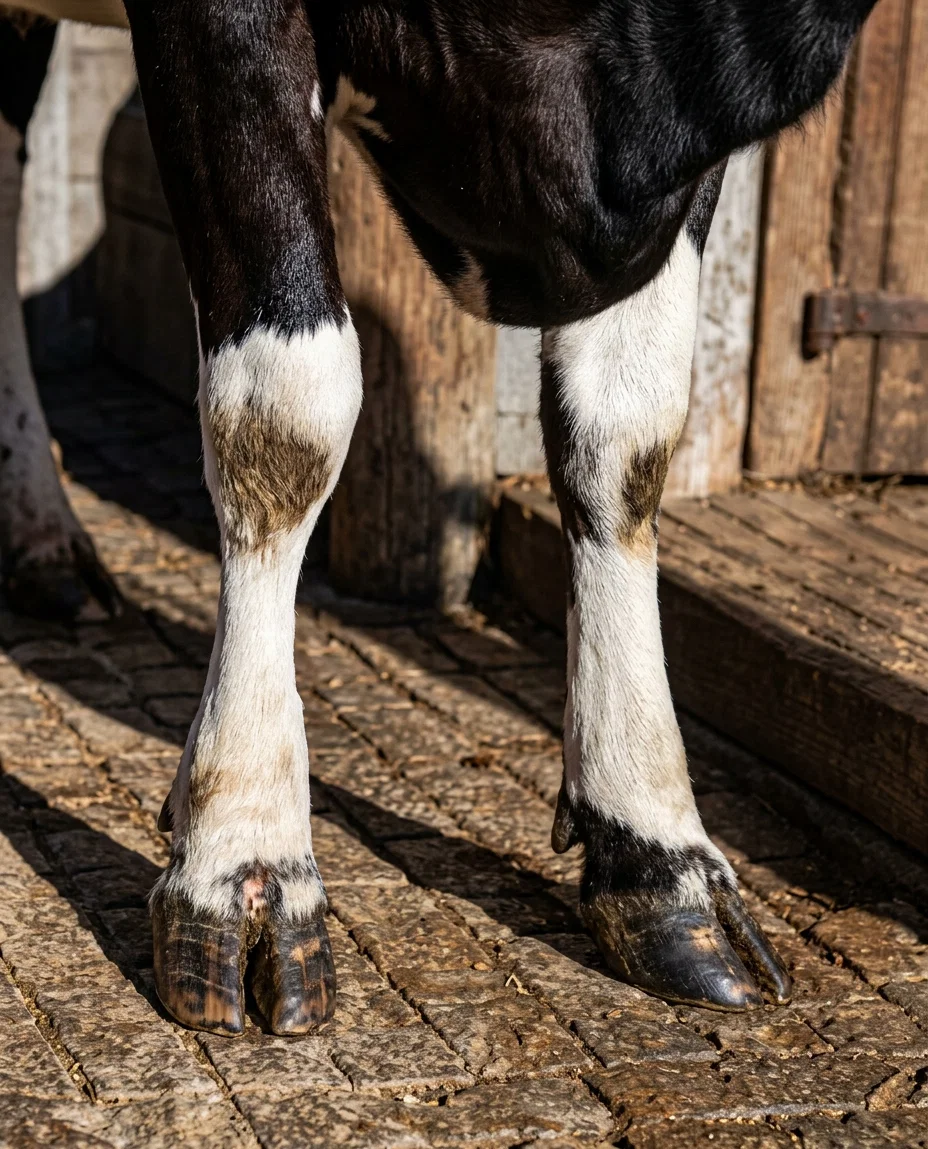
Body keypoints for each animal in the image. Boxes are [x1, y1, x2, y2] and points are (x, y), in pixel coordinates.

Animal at [1, 0, 878, 1036]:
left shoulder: (690, 146)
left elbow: (630, 426)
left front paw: (656, 851)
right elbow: (287, 408)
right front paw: (246, 854)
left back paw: (43, 545)